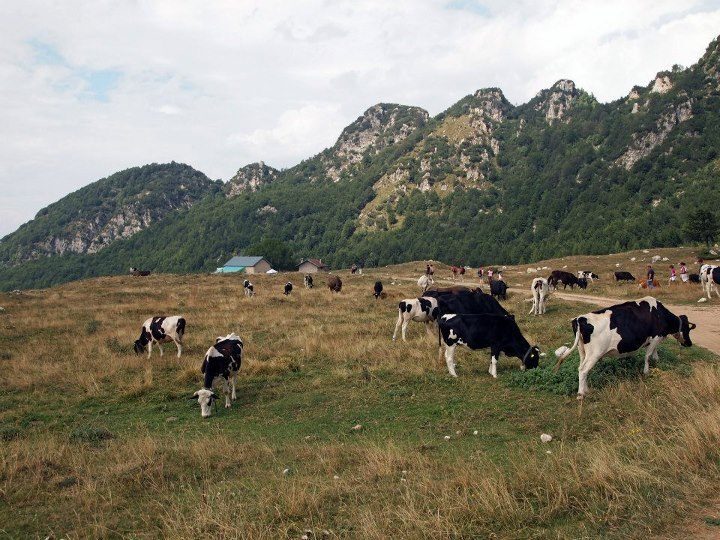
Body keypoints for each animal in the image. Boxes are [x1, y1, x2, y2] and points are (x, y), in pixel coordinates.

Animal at [554, 297, 696, 399]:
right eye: (687, 329)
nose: (689, 343)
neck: (660, 314)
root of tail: (579, 319)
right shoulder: (655, 337)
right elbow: (648, 356)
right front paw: (646, 372)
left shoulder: (654, 340)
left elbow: (654, 354)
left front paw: (657, 363)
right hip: (595, 353)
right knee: (583, 370)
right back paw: (581, 394)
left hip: (582, 351)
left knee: (581, 368)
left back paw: (586, 389)